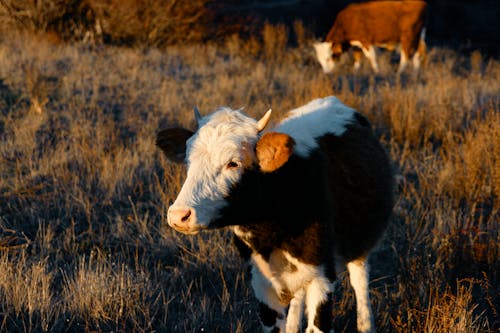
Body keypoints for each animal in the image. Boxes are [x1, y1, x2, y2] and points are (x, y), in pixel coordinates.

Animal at [156, 96, 394, 332]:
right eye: (188, 161)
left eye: (233, 163)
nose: (179, 215)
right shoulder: (261, 282)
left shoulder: (323, 277)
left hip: (360, 243)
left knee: (359, 281)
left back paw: (366, 325)